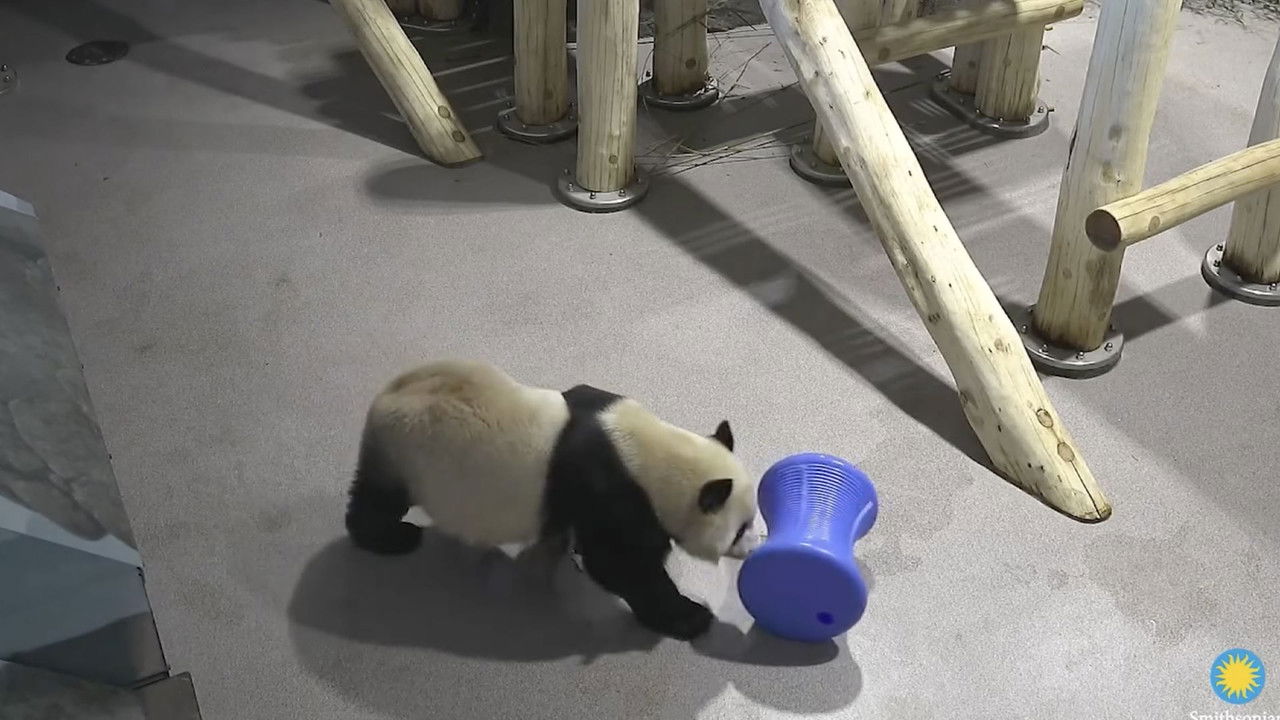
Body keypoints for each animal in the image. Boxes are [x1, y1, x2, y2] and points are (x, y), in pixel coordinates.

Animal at [345, 359, 761, 640]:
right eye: (740, 529)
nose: (756, 546)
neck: (653, 453)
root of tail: (386, 395)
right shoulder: (612, 492)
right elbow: (621, 564)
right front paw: (691, 617)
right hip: (406, 451)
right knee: (379, 498)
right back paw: (391, 537)